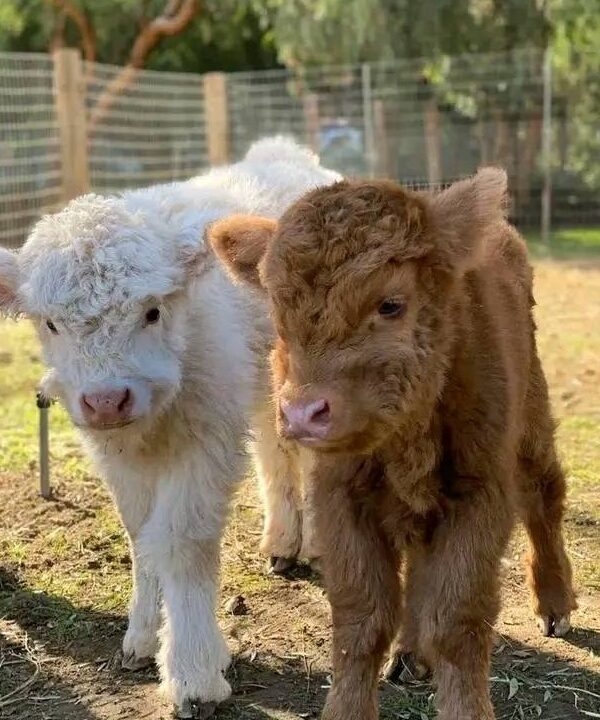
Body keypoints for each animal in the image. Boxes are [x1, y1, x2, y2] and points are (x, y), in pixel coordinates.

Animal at [0, 137, 340, 719]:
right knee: (275, 449)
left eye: (153, 312)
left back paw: (315, 542)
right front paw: (141, 637)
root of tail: (284, 154)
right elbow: (142, 535)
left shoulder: (205, 439)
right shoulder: (115, 452)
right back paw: (282, 540)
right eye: (51, 324)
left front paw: (195, 670)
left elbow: (182, 541)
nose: (106, 400)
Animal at [207, 170, 577, 720]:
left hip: (531, 424)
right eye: (277, 308)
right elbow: (362, 618)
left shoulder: (480, 495)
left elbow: (457, 618)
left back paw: (554, 606)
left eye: (391, 304)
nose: (302, 413)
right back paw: (409, 654)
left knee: (544, 497)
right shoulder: (341, 497)